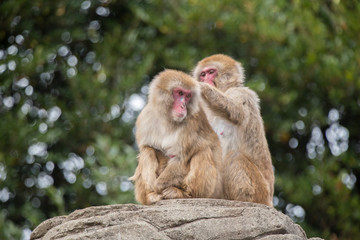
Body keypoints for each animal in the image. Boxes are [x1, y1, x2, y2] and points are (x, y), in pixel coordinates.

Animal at [129, 69, 222, 204]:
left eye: (188, 96)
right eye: (180, 93)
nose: (183, 106)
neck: (168, 120)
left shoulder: (191, 123)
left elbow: (181, 157)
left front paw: (159, 185)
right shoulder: (145, 119)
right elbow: (150, 148)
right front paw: (154, 189)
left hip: (210, 191)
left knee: (202, 150)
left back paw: (184, 194)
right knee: (147, 150)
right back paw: (151, 195)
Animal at [193, 54, 274, 206]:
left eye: (211, 72)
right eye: (203, 74)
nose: (205, 79)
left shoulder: (242, 93)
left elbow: (236, 111)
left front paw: (202, 88)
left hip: (261, 191)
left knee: (235, 157)